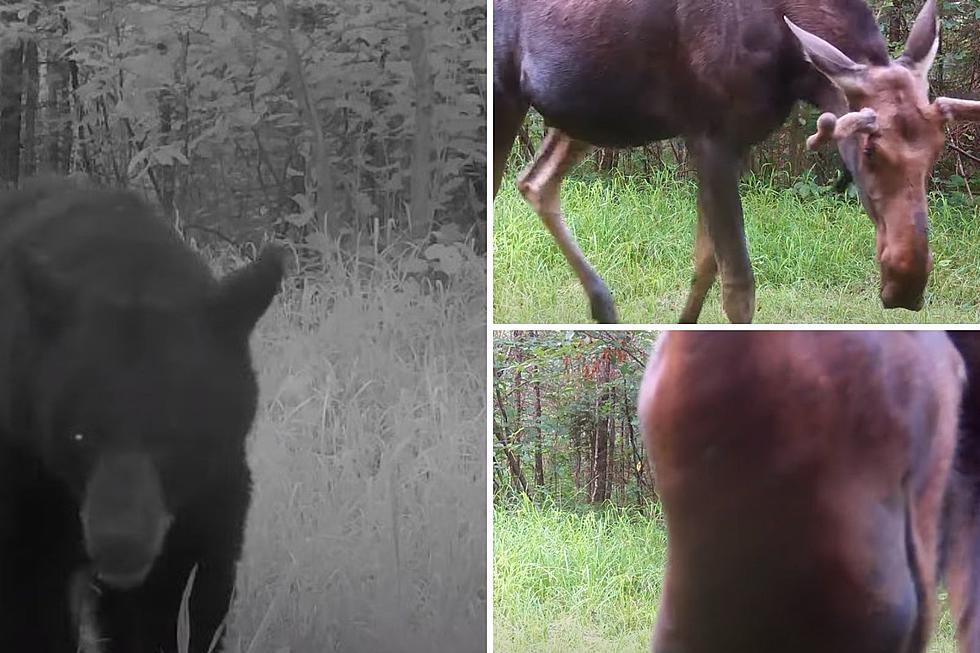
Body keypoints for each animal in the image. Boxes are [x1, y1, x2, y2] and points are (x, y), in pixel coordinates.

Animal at [0, 180, 284, 652]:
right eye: (80, 435)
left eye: (174, 438)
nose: (120, 543)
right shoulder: (26, 475)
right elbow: (29, 606)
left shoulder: (210, 492)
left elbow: (186, 604)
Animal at [494, 0, 980, 324]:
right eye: (869, 150)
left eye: (937, 150)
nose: (908, 282)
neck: (792, 68)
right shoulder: (711, 135)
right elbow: (738, 285)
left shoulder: (737, 140)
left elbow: (705, 263)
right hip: (507, 97)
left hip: (587, 113)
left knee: (535, 180)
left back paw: (604, 305)